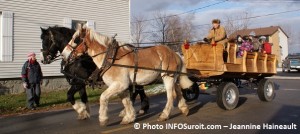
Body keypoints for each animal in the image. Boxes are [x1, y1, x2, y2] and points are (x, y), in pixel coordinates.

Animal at [61, 25, 195, 126]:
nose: (63, 54)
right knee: (178, 91)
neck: (110, 58)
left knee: (171, 95)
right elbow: (126, 100)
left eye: (75, 39)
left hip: (167, 77)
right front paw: (129, 117)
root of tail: (175, 53)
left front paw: (103, 119)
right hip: (173, 77)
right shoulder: (120, 86)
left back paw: (164, 115)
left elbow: (103, 97)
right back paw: (184, 109)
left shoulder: (120, 84)